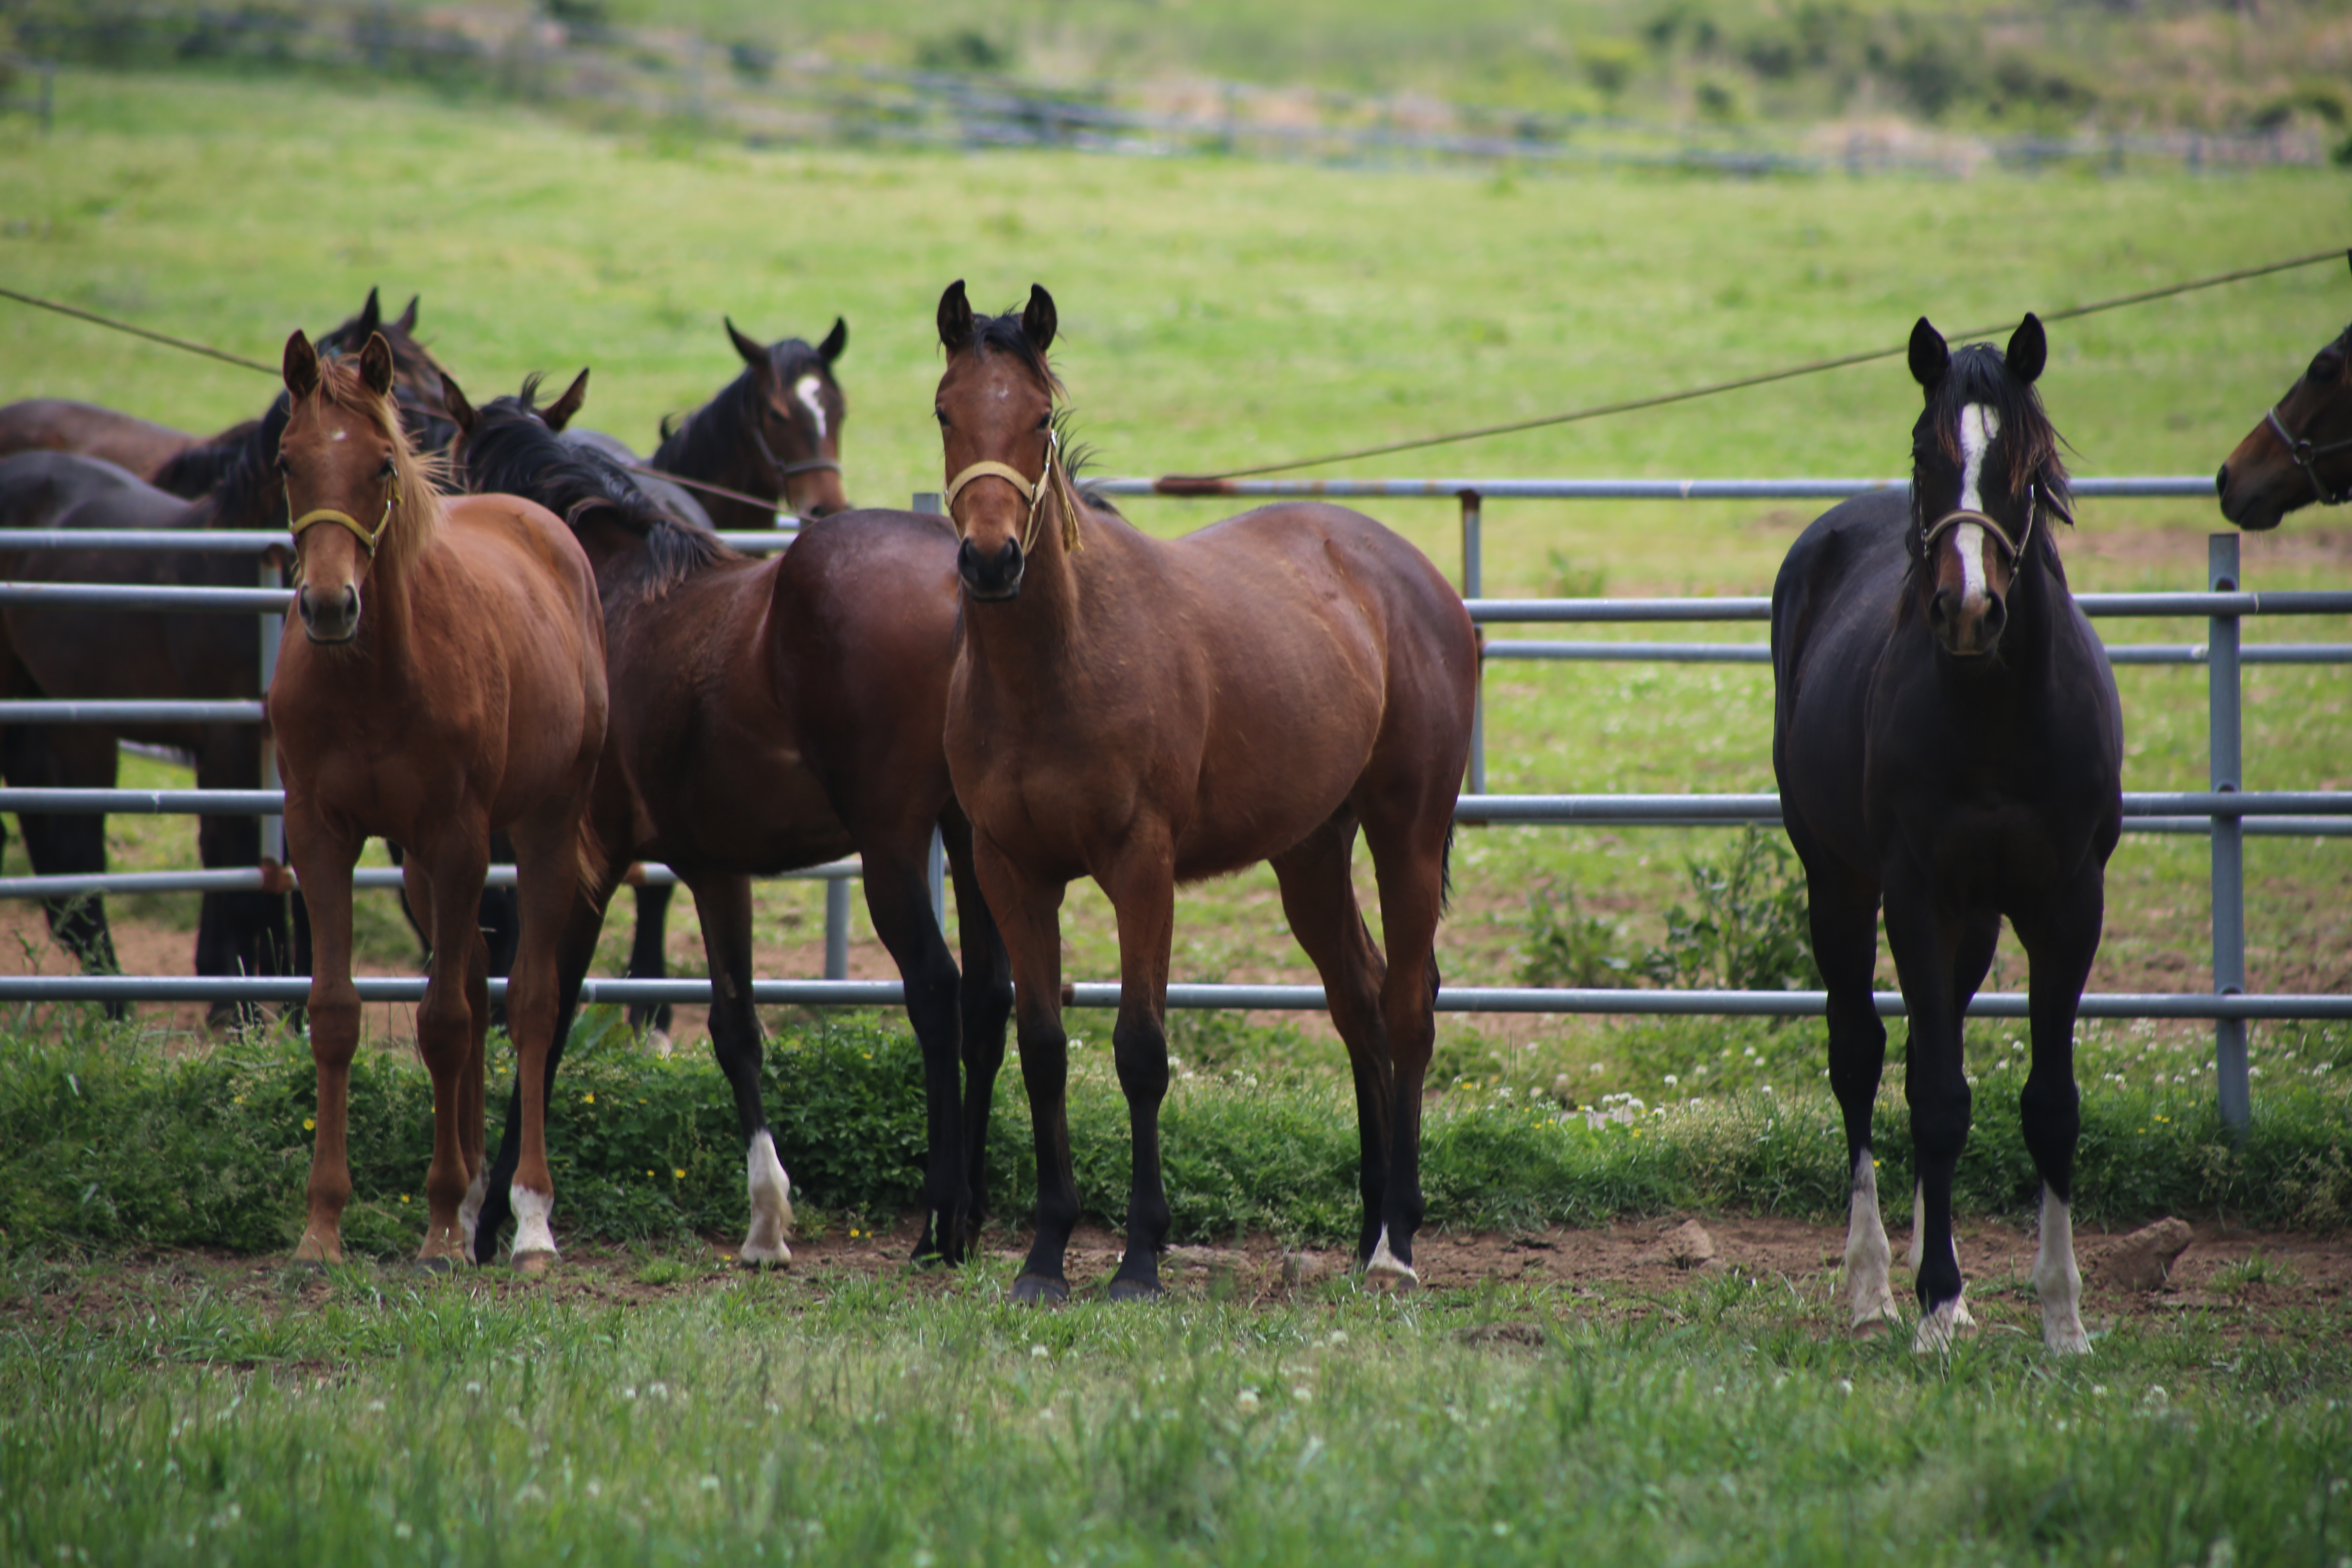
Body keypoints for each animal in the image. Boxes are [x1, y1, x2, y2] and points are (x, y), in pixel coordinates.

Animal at [267, 334, 607, 1278]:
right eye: (287, 461)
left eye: (383, 463)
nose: (330, 606)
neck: (374, 678)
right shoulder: (322, 836)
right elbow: (338, 1015)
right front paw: (323, 1226)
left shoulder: (459, 838)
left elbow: (447, 1023)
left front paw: (445, 1223)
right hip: (421, 865)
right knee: (483, 989)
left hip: (540, 830)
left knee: (527, 1004)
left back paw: (526, 1217)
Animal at [454, 371, 1016, 1278]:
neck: (609, 591)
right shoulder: (716, 869)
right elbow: (734, 1027)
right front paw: (766, 1221)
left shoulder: (584, 859)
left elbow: (552, 1012)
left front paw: (505, 1212)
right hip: (972, 841)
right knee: (991, 996)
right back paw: (973, 1208)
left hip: (894, 848)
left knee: (936, 991)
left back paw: (940, 1221)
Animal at [931, 288, 1468, 1307]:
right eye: (946, 411)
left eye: (1041, 418)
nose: (989, 561)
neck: (1056, 665)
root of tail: (1411, 576)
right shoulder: (1010, 870)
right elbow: (1045, 1050)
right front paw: (1045, 1257)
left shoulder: (1143, 866)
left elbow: (1140, 1051)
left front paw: (1140, 1259)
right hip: (1311, 853)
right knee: (1361, 1003)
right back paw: (1366, 1230)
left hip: (1408, 832)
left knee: (1411, 1006)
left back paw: (1398, 1243)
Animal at [1768, 312, 2126, 1354]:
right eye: (1927, 453)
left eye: (2023, 462)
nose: (1967, 609)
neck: (1997, 718)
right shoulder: (1913, 894)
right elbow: (1932, 1101)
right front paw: (1927, 1307)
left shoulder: (2066, 903)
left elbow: (2047, 1106)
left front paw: (2060, 1320)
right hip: (1841, 889)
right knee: (1861, 1057)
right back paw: (1874, 1287)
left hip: (1974, 921)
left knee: (1937, 1049)